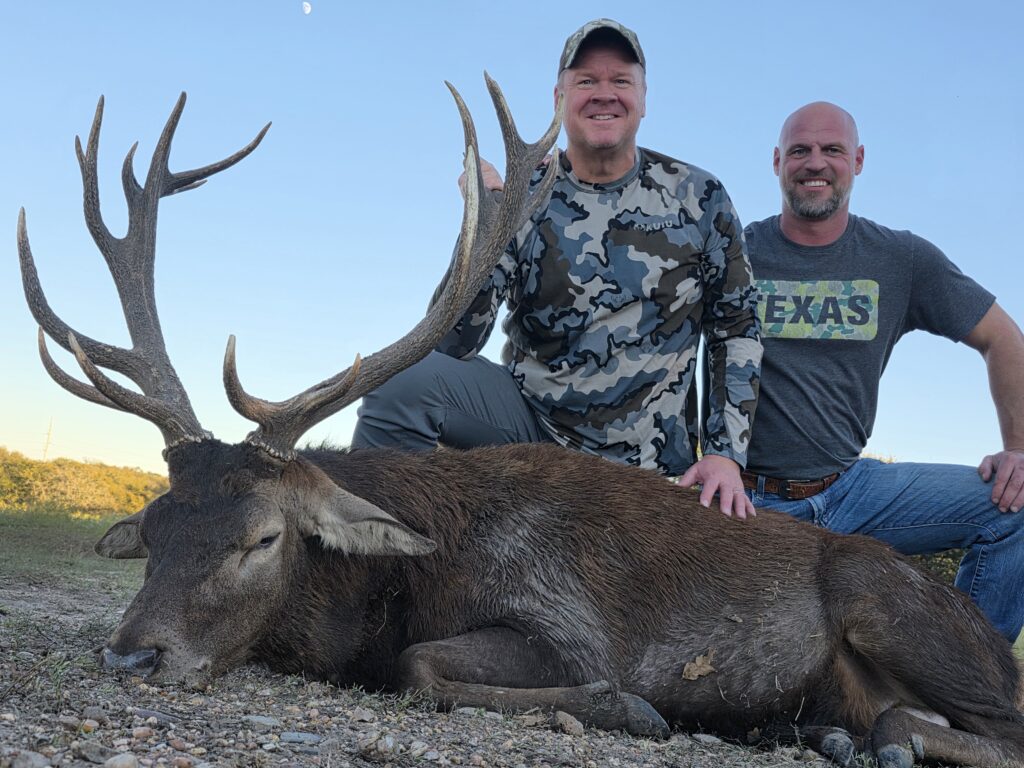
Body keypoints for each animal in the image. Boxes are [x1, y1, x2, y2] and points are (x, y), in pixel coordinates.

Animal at [16, 82, 1024, 768]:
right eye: (152, 528)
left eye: (263, 536)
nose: (131, 656)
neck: (396, 585)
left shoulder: (564, 620)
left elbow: (420, 669)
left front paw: (634, 710)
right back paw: (822, 732)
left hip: (889, 602)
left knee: (983, 722)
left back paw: (874, 736)